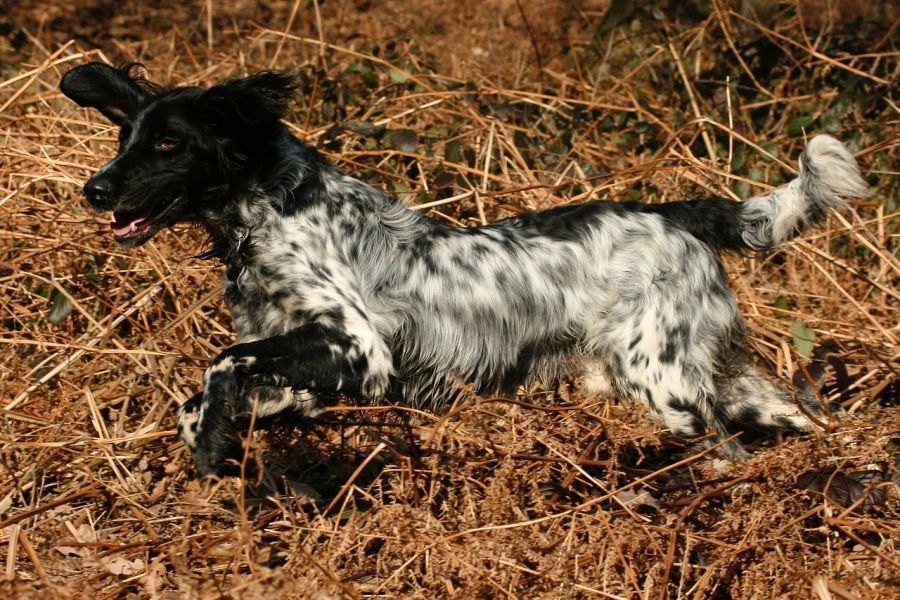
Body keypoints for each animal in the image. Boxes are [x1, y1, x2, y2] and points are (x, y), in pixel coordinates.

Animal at [59, 61, 868, 474]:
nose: (93, 189)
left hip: (664, 386)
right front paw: (221, 430)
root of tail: (674, 213)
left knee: (727, 456)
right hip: (720, 378)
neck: (270, 207)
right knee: (799, 421)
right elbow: (221, 393)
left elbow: (220, 365)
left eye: (168, 143)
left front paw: (210, 445)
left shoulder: (360, 346)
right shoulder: (308, 362)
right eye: (126, 136)